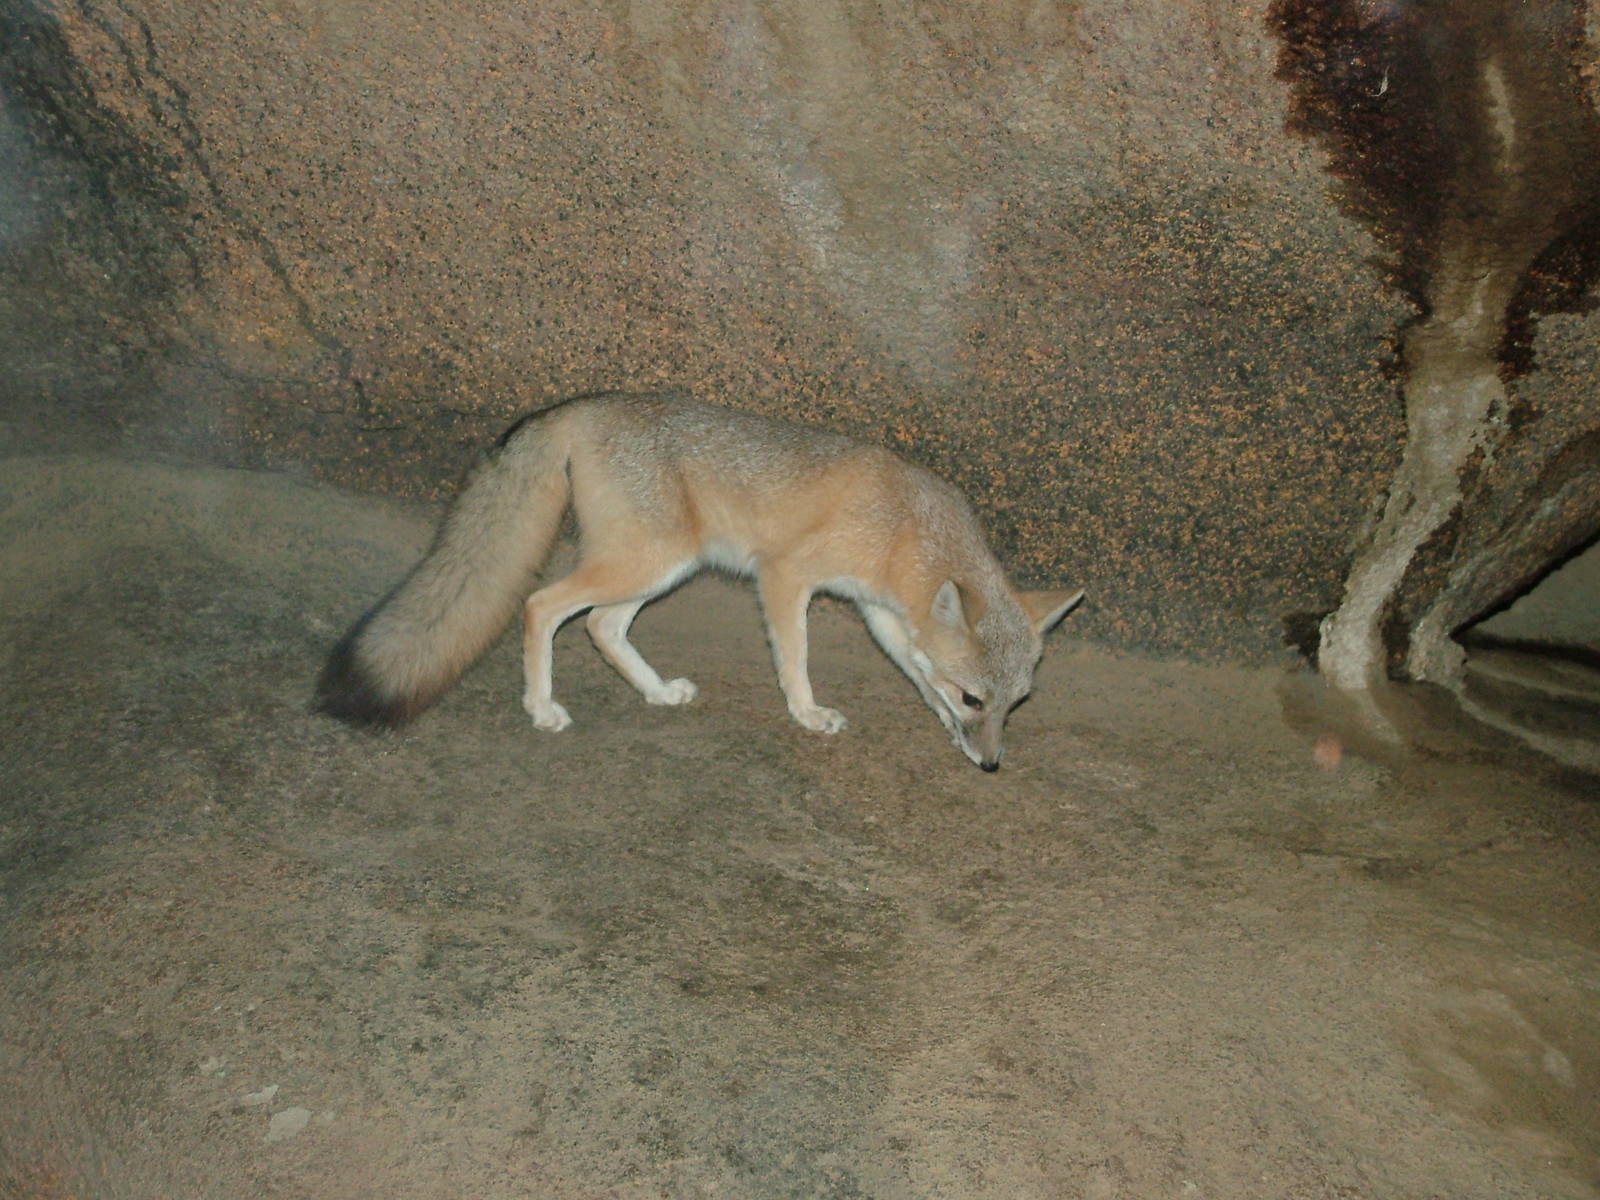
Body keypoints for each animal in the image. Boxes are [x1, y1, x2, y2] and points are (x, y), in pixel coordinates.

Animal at [316, 391, 1082, 770]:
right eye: (978, 697)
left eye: (1014, 704)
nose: (991, 765)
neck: (904, 525)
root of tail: (586, 403)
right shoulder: (785, 575)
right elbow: (795, 657)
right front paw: (808, 714)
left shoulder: (884, 614)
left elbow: (917, 672)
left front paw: (942, 725)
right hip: (650, 560)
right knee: (541, 604)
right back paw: (541, 706)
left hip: (659, 566)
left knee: (601, 626)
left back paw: (657, 692)